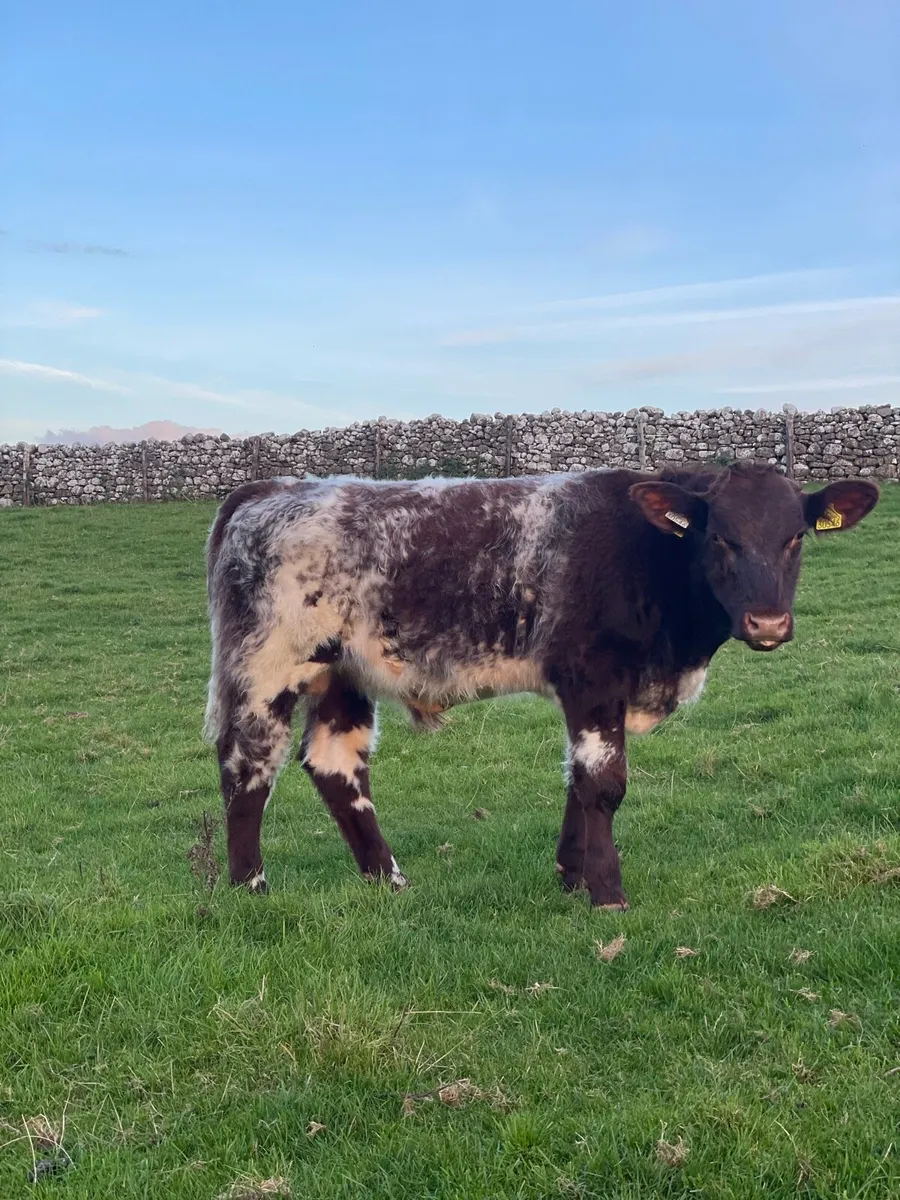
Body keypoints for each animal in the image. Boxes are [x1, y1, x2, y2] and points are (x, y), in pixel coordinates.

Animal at [204, 462, 878, 909]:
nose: (768, 623)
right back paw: (249, 887)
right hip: (267, 666)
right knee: (247, 764)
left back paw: (388, 879)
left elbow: (578, 780)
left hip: (343, 674)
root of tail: (274, 487)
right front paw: (606, 893)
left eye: (795, 537)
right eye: (720, 537)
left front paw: (570, 876)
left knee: (335, 766)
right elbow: (603, 783)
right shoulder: (592, 677)